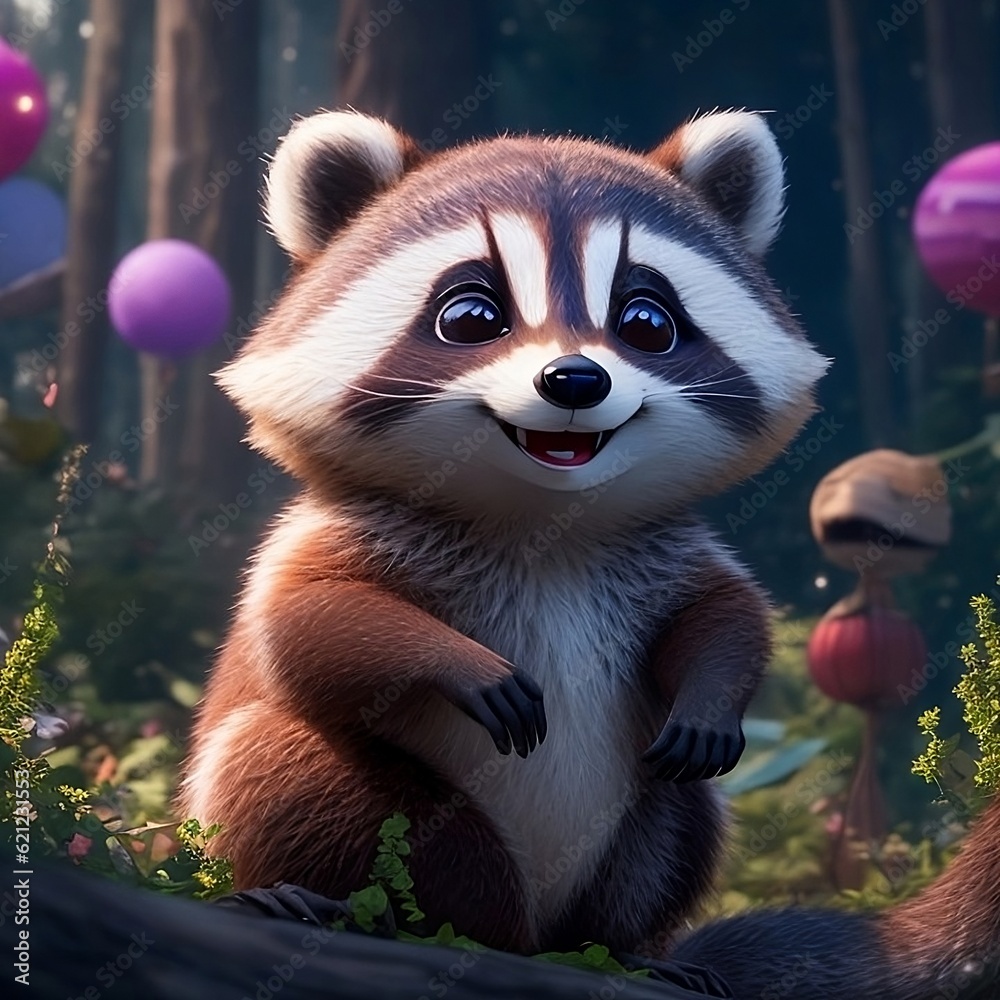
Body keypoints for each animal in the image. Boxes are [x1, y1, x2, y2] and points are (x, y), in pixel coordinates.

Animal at [178, 109, 1000, 997]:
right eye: (471, 316)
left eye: (647, 322)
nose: (574, 379)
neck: (547, 519)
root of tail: (527, 933)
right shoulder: (343, 533)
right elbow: (305, 625)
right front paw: (456, 662)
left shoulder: (659, 549)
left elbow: (727, 613)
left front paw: (711, 693)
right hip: (395, 825)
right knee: (281, 760)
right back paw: (323, 899)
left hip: (640, 836)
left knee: (680, 819)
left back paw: (628, 947)